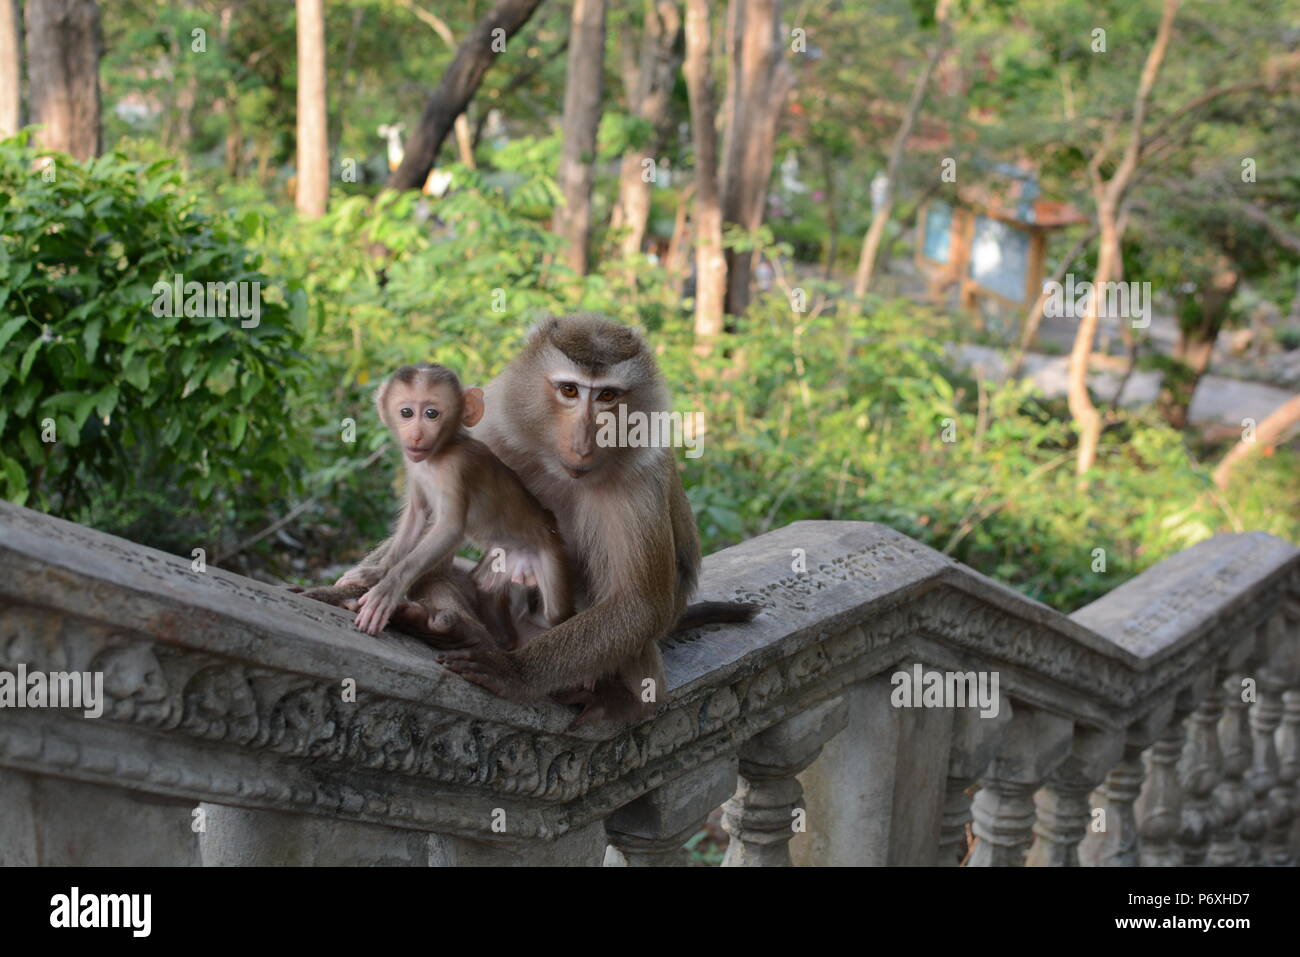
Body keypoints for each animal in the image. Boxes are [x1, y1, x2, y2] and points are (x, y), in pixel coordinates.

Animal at [343, 361, 572, 639]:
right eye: (406, 412)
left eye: (431, 414)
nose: (416, 435)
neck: (438, 455)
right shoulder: (413, 465)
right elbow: (417, 515)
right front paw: (378, 572)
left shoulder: (457, 467)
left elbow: (450, 529)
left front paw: (388, 590)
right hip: (506, 557)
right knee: (485, 586)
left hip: (550, 552)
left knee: (556, 615)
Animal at [436, 314, 754, 722]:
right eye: (569, 390)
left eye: (607, 397)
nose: (584, 441)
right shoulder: (494, 428)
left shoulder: (639, 475)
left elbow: (638, 605)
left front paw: (515, 671)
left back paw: (628, 696)